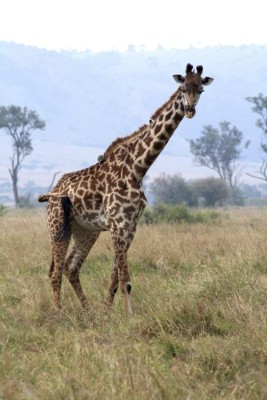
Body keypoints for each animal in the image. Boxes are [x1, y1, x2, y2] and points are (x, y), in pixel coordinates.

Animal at [38, 63, 214, 316]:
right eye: (182, 88)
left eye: (201, 90)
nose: (190, 110)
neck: (136, 169)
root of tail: (52, 191)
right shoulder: (118, 224)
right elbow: (125, 279)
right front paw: (129, 316)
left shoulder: (131, 226)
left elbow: (115, 279)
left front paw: (107, 312)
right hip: (58, 226)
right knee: (55, 271)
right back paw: (59, 313)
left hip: (86, 230)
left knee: (71, 267)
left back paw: (89, 312)